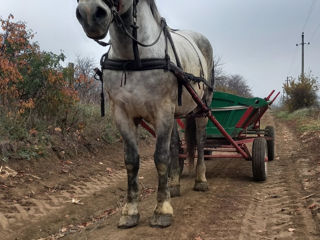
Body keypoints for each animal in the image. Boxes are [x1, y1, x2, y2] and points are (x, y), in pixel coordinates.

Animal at [76, 0, 214, 229]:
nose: (90, 13)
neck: (134, 60)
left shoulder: (163, 111)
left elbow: (161, 158)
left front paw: (163, 210)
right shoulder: (122, 115)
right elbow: (132, 161)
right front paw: (130, 211)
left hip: (202, 106)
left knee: (201, 141)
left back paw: (201, 180)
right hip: (176, 113)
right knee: (175, 145)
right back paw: (174, 184)